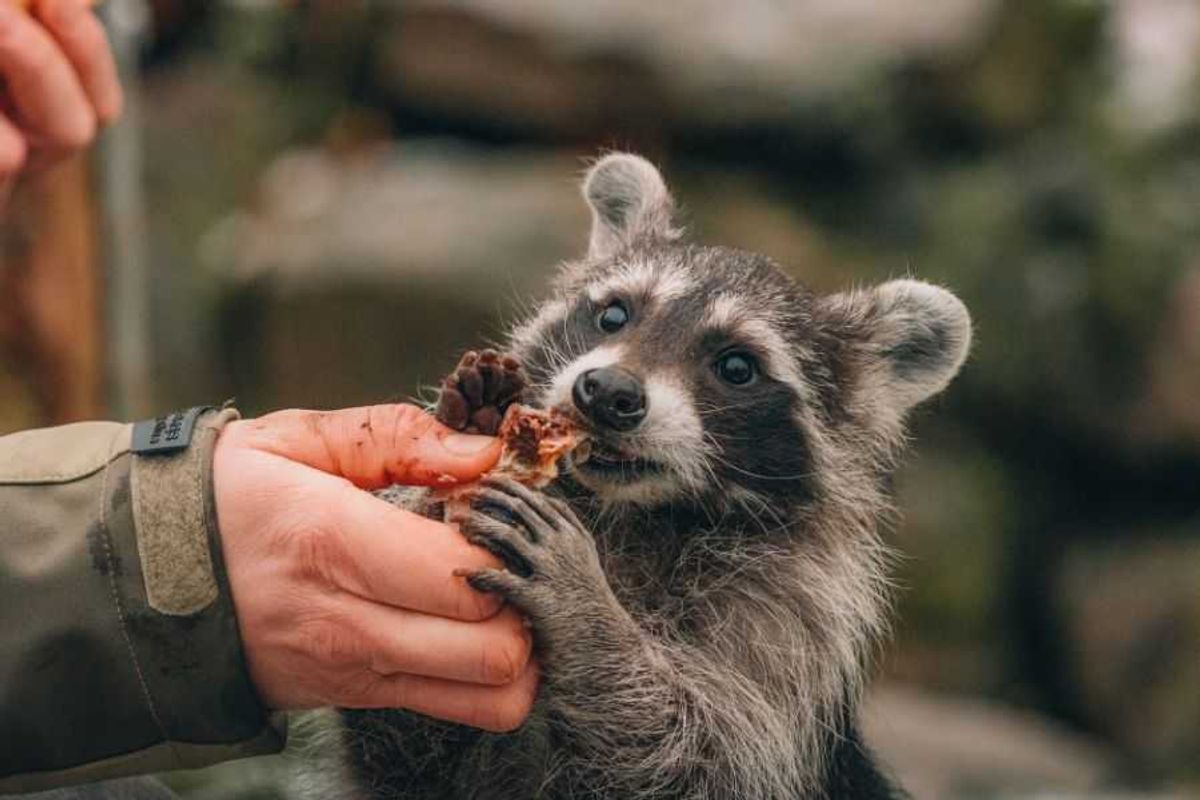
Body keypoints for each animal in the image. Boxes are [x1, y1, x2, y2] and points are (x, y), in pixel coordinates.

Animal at [323, 154, 972, 799]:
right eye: (614, 313)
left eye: (738, 366)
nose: (607, 392)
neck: (630, 515)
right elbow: (409, 749)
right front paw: (444, 481)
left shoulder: (782, 640)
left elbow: (698, 759)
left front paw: (589, 617)